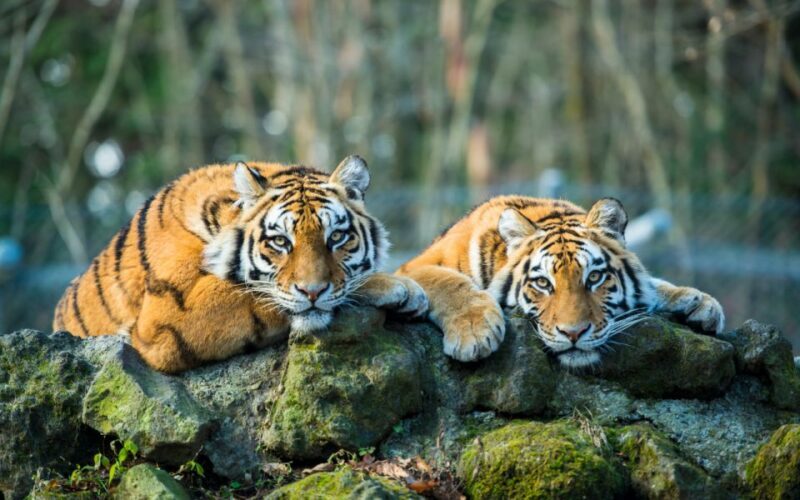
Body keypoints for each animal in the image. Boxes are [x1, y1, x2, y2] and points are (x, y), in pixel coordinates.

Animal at [53, 155, 428, 373]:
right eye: (281, 241)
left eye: (336, 237)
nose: (313, 292)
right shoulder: (166, 317)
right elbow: (255, 294)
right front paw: (397, 286)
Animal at [397, 196, 724, 368]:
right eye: (543, 283)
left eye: (594, 277)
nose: (574, 333)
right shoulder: (413, 267)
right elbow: (450, 282)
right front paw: (474, 333)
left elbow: (654, 285)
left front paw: (700, 302)